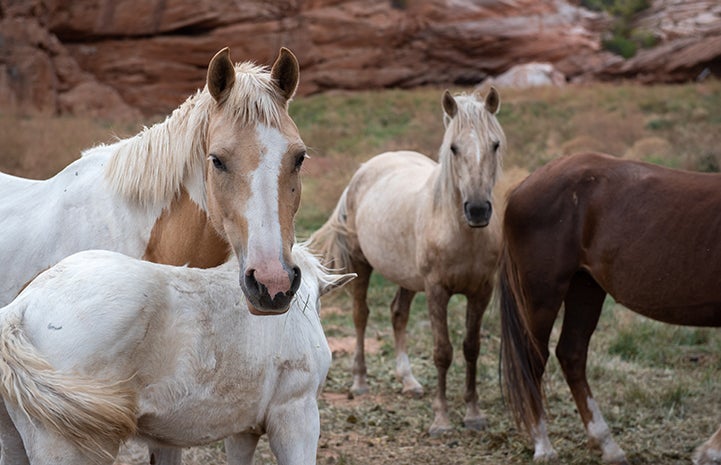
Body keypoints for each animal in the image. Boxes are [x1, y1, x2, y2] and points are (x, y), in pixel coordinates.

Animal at [310, 88, 506, 436]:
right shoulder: (437, 291)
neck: (460, 233)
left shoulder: (481, 291)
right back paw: (359, 382)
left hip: (408, 278)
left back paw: (409, 381)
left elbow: (471, 348)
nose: (478, 210)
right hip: (362, 265)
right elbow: (443, 352)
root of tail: (366, 168)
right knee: (361, 315)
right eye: (454, 148)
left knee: (397, 314)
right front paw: (441, 420)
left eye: (495, 144)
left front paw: (473, 415)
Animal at [498, 150, 720, 462]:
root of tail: (522, 186)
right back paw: (544, 447)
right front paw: (711, 452)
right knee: (532, 361)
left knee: (571, 354)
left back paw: (607, 445)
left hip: (585, 288)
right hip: (544, 294)